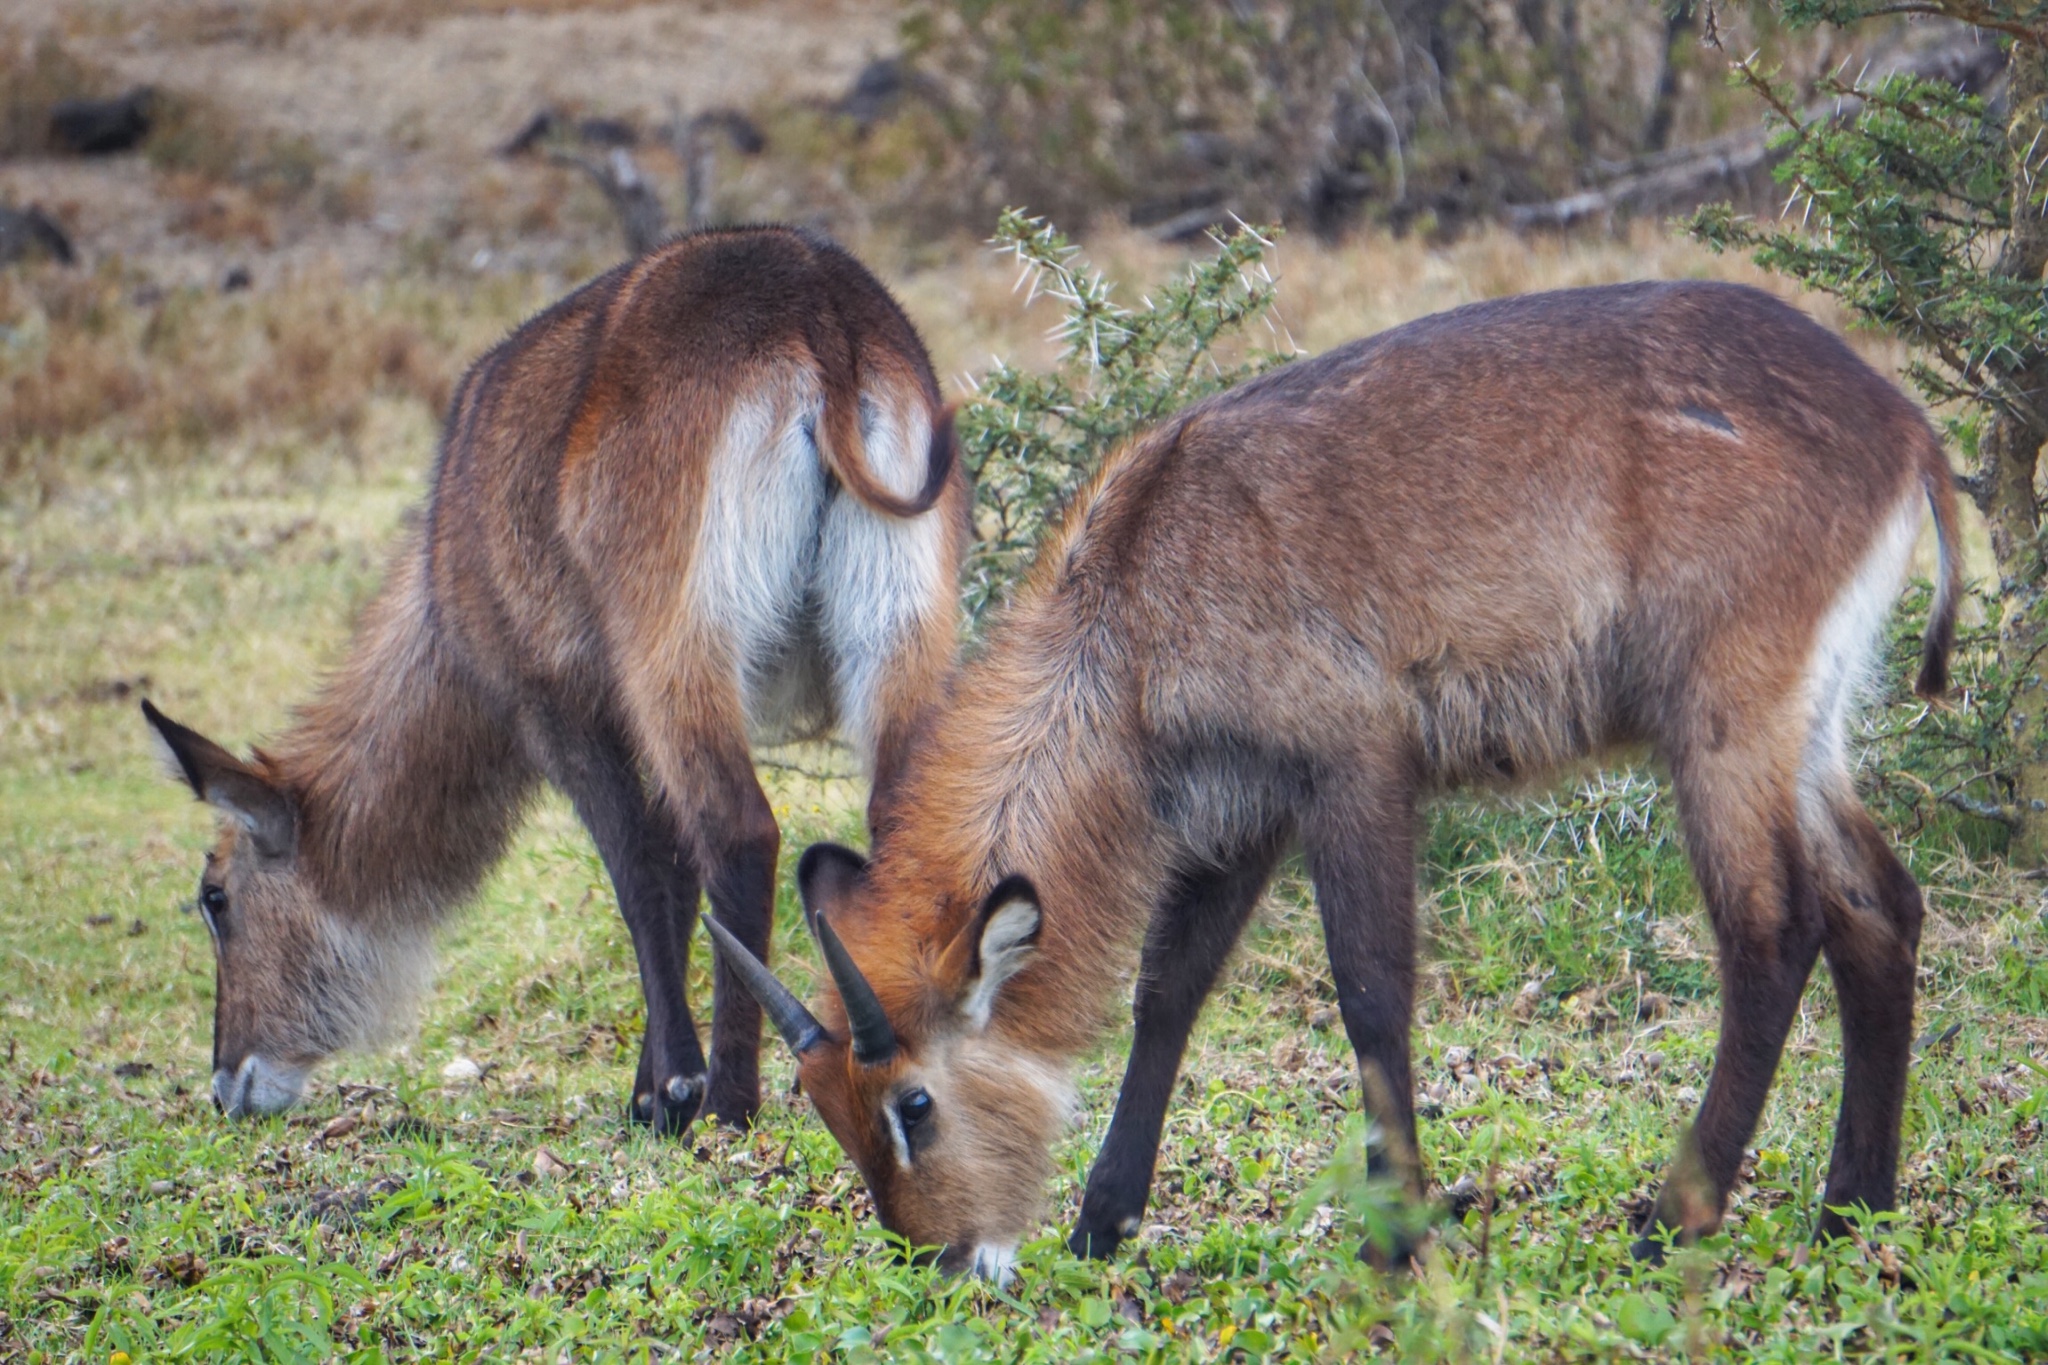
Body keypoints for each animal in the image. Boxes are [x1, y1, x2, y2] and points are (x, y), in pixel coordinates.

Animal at [142, 229, 966, 1137]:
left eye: (215, 897)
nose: (226, 1084)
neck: (441, 573)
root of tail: (819, 301)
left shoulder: (553, 705)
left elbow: (643, 876)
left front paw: (672, 1089)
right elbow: (674, 872)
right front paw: (650, 1088)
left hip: (677, 646)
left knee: (740, 834)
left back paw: (729, 1101)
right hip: (895, 636)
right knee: (893, 822)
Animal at [708, 280, 1966, 1285]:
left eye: (912, 1103)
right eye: (825, 1110)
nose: (944, 1262)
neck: (1135, 584)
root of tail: (1901, 423)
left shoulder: (1351, 767)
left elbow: (1368, 993)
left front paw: (1398, 1236)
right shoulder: (1239, 809)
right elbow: (1167, 991)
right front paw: (1102, 1224)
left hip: (1720, 721)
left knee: (1773, 931)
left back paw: (1671, 1225)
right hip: (1803, 730)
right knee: (1877, 908)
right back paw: (1852, 1214)